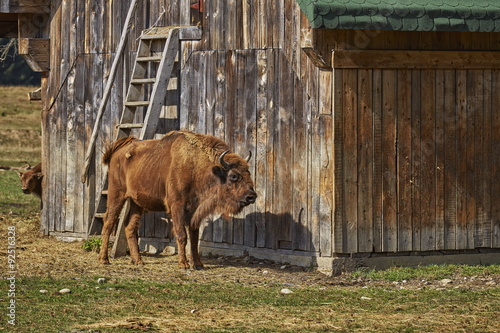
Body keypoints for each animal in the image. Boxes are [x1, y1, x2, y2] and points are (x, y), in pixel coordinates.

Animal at [98, 128, 256, 268]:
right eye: (233, 176)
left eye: (248, 172)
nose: (251, 197)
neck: (196, 166)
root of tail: (118, 150)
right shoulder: (177, 206)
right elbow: (182, 235)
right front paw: (183, 264)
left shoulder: (194, 211)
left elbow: (194, 238)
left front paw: (198, 264)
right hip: (116, 194)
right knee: (109, 222)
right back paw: (104, 259)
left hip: (136, 202)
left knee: (130, 227)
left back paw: (138, 261)